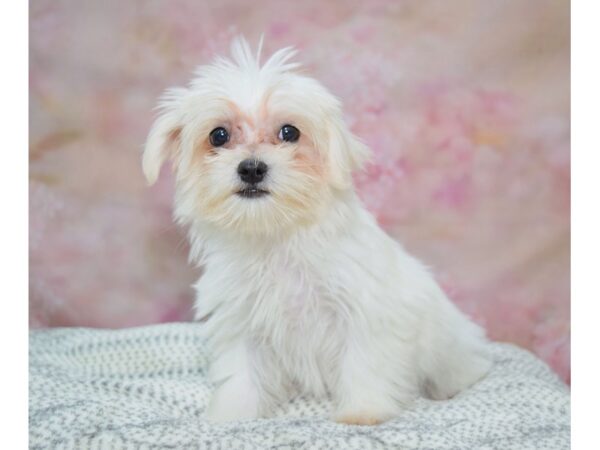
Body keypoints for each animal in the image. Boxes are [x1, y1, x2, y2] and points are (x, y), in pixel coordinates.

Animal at [143, 38, 490, 426]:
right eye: (218, 135)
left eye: (289, 132)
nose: (251, 168)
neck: (276, 235)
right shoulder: (241, 321)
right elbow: (242, 373)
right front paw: (233, 414)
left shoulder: (365, 312)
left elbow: (364, 363)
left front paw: (363, 412)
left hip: (449, 346)